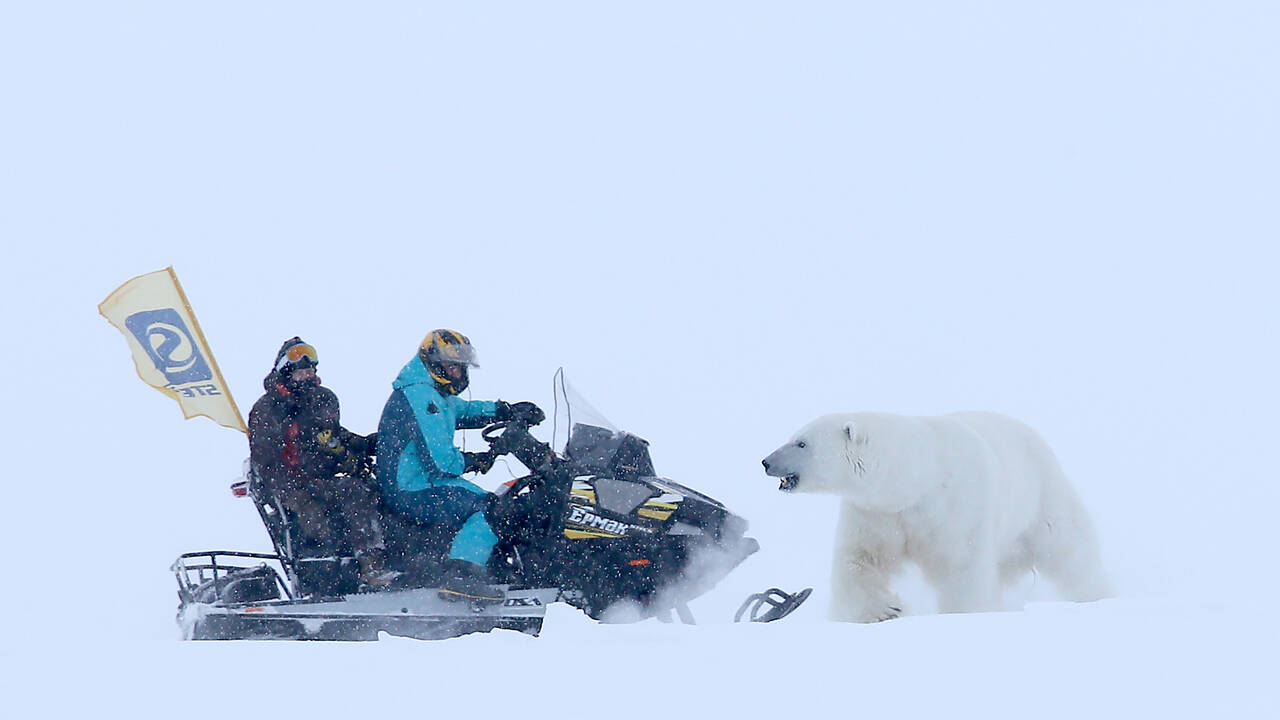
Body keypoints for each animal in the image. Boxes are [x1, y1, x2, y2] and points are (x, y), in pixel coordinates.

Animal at [757, 412, 1111, 620]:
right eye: (793, 437)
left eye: (801, 443)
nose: (766, 461)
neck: (917, 478)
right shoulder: (876, 513)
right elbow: (859, 559)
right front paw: (885, 609)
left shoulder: (955, 510)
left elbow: (963, 568)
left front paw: (964, 612)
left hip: (1040, 496)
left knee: (1070, 551)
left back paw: (1098, 594)